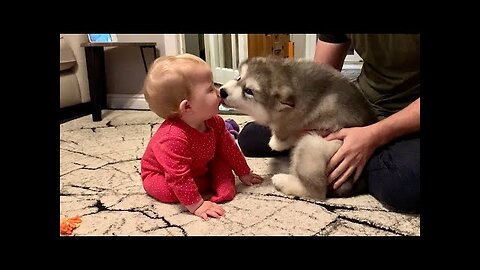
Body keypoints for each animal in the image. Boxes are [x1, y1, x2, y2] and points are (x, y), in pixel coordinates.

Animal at [219, 56, 376, 200]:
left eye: (249, 91)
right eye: (239, 78)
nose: (222, 91)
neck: (291, 79)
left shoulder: (300, 121)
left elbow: (287, 130)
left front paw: (277, 141)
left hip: (312, 145)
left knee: (317, 192)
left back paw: (282, 181)